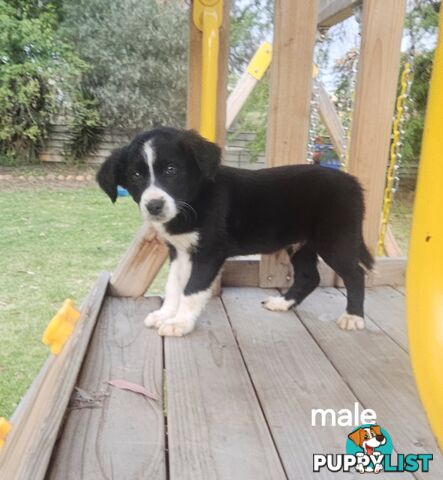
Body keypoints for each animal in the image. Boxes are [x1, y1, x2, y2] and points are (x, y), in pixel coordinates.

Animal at [98, 127, 374, 338]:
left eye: (171, 170)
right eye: (135, 175)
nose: (154, 206)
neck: (195, 200)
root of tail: (353, 182)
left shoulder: (208, 254)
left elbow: (192, 289)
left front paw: (180, 323)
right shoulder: (179, 251)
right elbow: (173, 286)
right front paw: (166, 314)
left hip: (336, 241)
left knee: (356, 275)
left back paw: (353, 317)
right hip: (301, 244)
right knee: (309, 277)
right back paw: (282, 303)